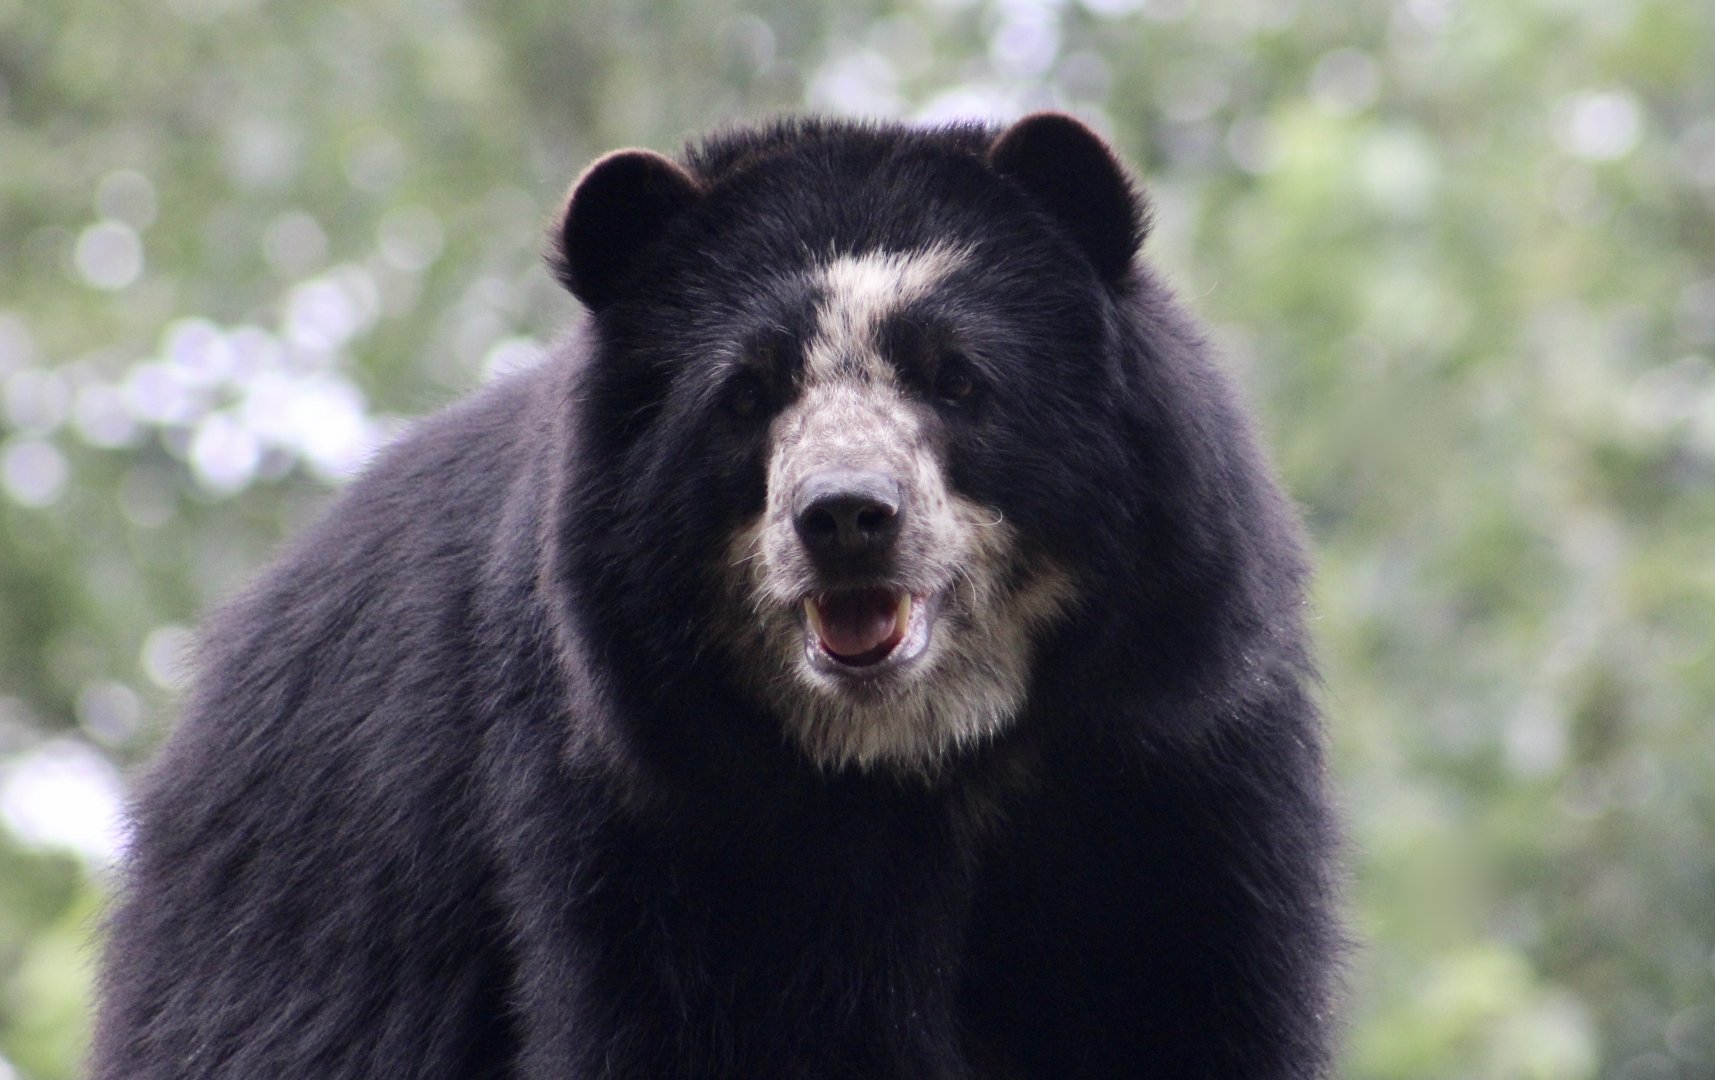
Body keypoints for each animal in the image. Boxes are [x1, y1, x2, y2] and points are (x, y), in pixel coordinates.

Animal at [92, 113, 1341, 1079]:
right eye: (748, 395)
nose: (844, 518)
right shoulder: (657, 813)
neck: (913, 756)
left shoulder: (1168, 762)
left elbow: (1176, 1004)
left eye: (954, 379)